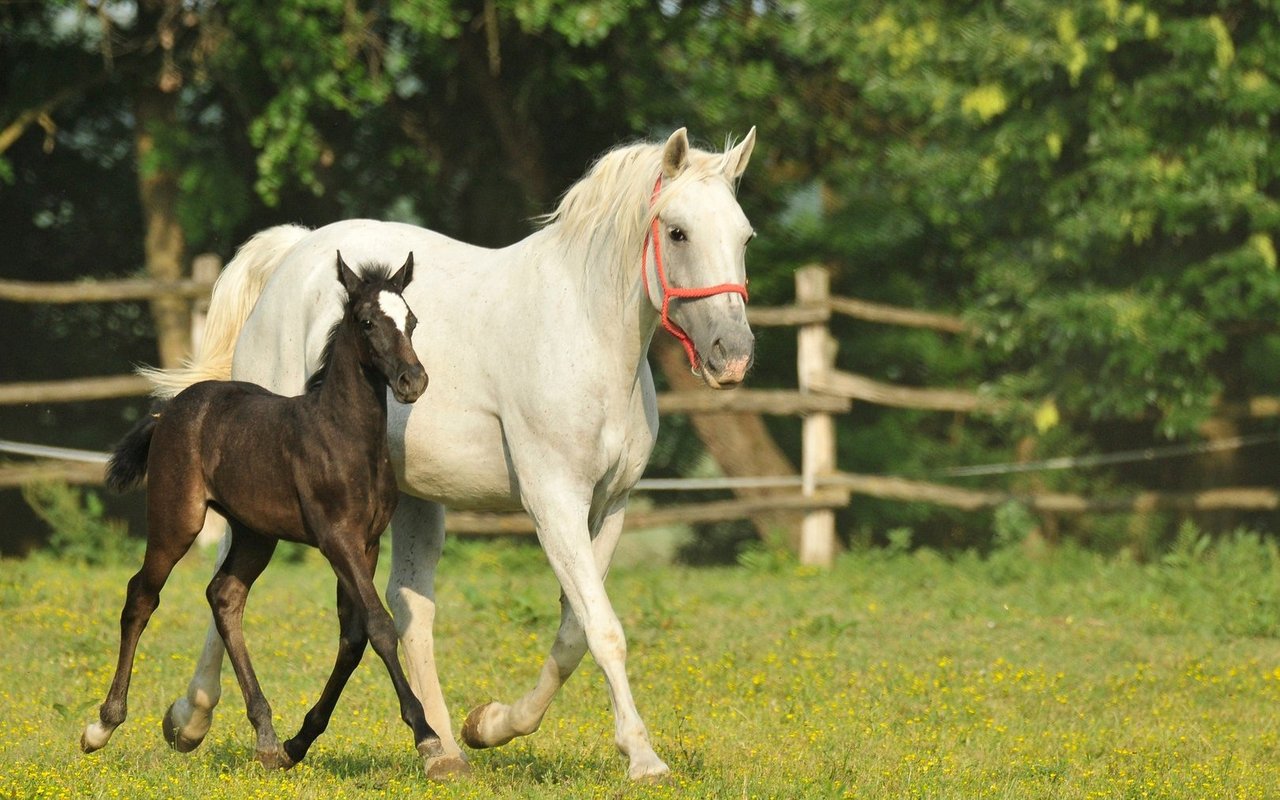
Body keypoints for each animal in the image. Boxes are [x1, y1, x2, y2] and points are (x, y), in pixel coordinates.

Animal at [80, 253, 441, 773]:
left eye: (411, 321)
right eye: (368, 322)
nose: (414, 381)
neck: (344, 436)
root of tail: (171, 411)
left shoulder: (367, 543)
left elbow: (354, 636)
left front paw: (297, 743)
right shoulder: (337, 539)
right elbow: (379, 626)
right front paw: (428, 738)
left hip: (255, 534)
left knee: (225, 597)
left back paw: (267, 736)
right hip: (176, 519)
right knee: (141, 597)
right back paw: (102, 725)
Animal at [143, 127, 757, 781]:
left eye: (744, 235)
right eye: (678, 232)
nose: (733, 355)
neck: (585, 332)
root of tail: (293, 252)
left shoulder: (609, 505)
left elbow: (574, 632)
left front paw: (489, 724)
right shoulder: (553, 501)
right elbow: (602, 628)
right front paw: (642, 757)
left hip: (413, 497)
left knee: (410, 609)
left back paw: (441, 749)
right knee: (226, 578)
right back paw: (189, 719)